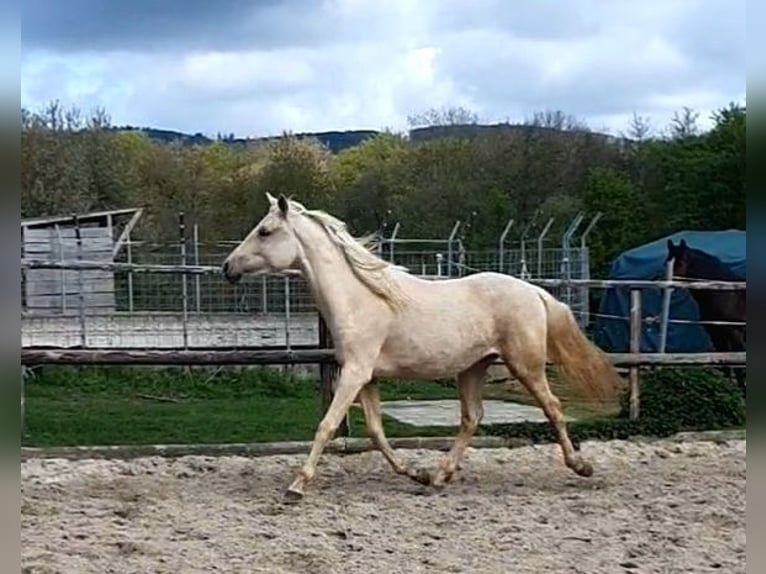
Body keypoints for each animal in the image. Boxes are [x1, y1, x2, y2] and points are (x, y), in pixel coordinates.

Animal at [222, 193, 621, 501]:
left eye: (265, 231)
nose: (227, 268)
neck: (360, 298)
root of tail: (535, 291)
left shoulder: (354, 373)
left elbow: (327, 425)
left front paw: (296, 486)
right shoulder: (367, 378)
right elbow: (376, 432)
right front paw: (416, 473)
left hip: (525, 365)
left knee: (553, 407)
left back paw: (580, 466)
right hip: (473, 368)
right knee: (472, 417)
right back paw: (441, 475)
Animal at [665, 239, 746, 392]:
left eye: (681, 263)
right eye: (666, 262)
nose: (664, 285)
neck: (726, 294)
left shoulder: (734, 332)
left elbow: (739, 366)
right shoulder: (716, 333)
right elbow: (725, 363)